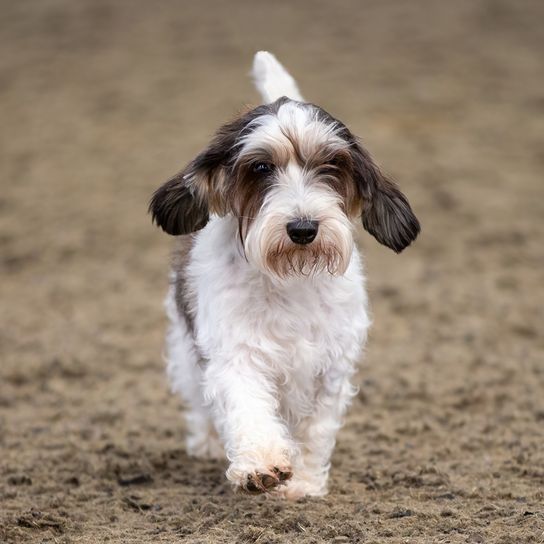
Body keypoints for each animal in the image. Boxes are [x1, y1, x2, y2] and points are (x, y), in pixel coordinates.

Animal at [149, 51, 420, 498]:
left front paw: (303, 484)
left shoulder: (330, 366)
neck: (291, 279)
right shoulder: (237, 353)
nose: (303, 228)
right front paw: (262, 466)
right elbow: (247, 408)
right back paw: (207, 445)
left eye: (331, 165)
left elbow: (314, 431)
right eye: (261, 167)